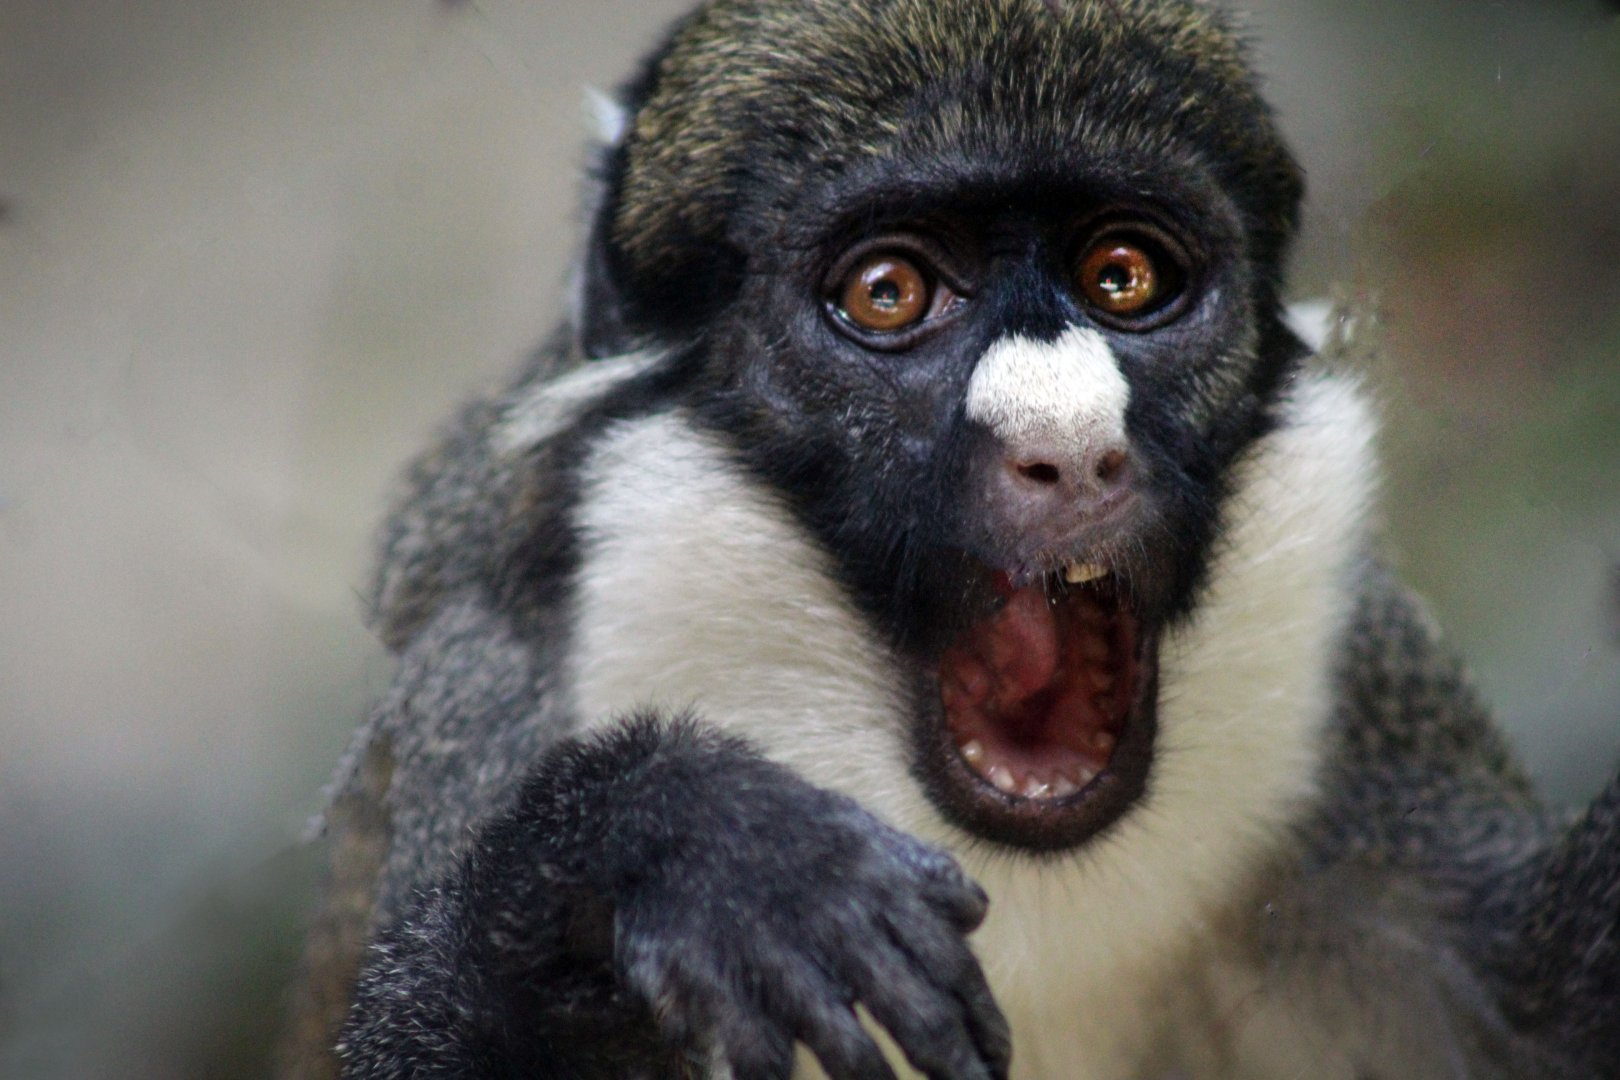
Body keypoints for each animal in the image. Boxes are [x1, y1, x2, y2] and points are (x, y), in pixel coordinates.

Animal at [279, 1, 1620, 1077]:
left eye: (1124, 276)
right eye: (889, 295)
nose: (1070, 445)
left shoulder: (1371, 677)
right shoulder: (487, 686)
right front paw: (674, 843)